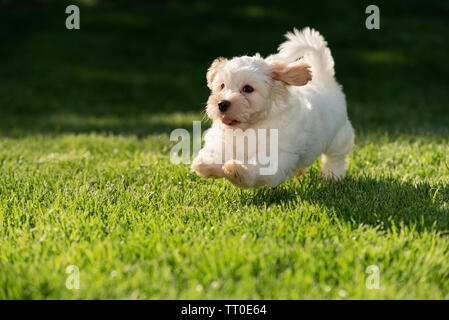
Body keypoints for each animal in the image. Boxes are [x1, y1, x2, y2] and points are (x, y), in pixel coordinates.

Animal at [191, 28, 352, 188]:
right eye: (222, 86)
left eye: (248, 88)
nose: (222, 103)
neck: (249, 128)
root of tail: (324, 79)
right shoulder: (224, 140)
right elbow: (217, 151)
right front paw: (206, 165)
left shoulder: (275, 153)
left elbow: (258, 167)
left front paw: (238, 172)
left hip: (339, 137)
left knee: (336, 158)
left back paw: (333, 176)